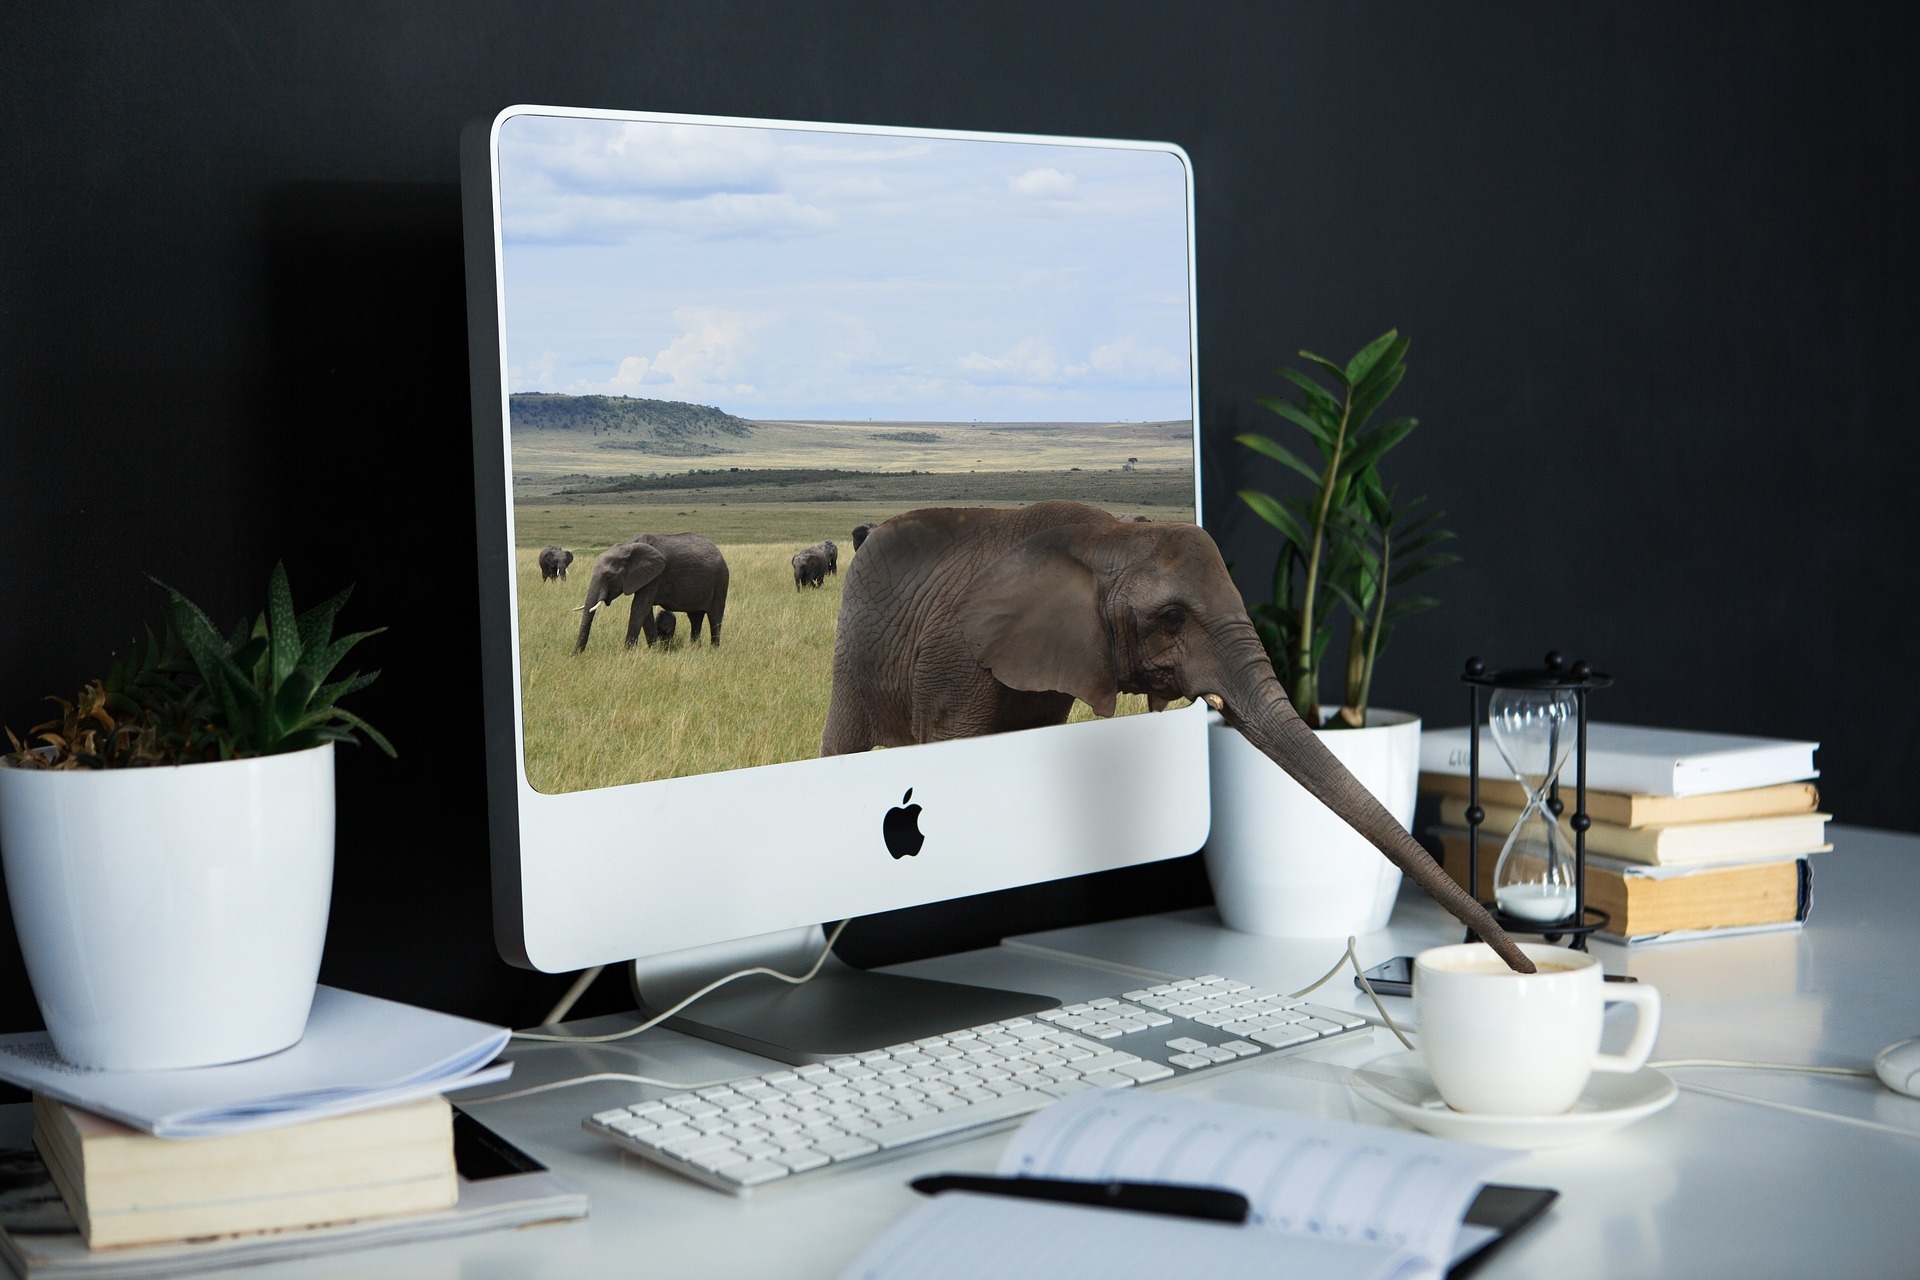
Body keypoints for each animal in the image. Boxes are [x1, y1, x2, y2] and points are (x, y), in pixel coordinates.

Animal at [574, 532, 729, 652]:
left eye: (609, 576)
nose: (575, 655)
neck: (627, 547)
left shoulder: (656, 576)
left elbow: (639, 607)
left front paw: (627, 652)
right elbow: (645, 610)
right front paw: (654, 650)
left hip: (721, 580)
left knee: (714, 617)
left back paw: (713, 650)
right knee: (695, 617)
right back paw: (694, 648)